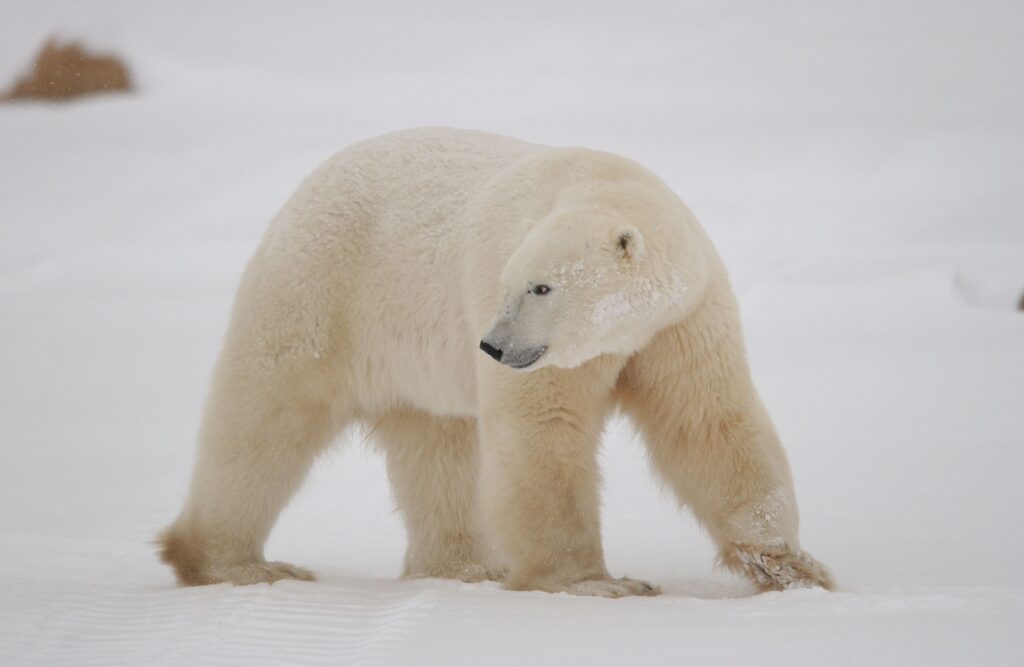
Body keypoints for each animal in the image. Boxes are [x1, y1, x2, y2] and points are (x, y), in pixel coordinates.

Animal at [157, 128, 831, 598]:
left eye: (541, 287)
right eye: (512, 284)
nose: (493, 347)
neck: (600, 179)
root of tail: (306, 187)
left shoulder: (680, 321)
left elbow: (709, 423)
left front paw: (793, 568)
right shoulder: (544, 340)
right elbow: (545, 434)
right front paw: (597, 582)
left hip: (411, 358)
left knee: (438, 447)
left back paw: (465, 565)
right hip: (323, 288)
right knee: (264, 419)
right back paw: (238, 564)